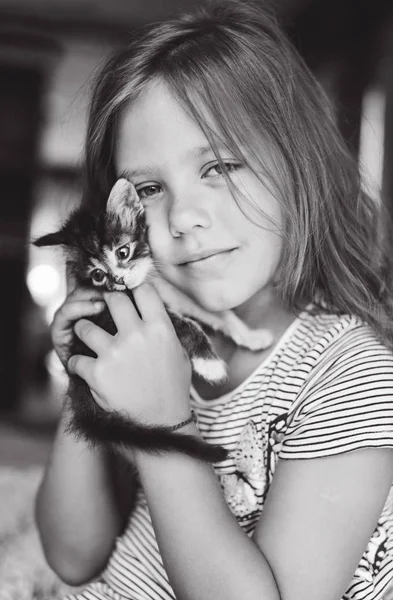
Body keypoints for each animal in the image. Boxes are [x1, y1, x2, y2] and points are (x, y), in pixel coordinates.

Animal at [34, 180, 272, 462]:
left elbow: (214, 312)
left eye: (122, 252)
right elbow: (189, 324)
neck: (147, 281)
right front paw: (211, 365)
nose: (119, 281)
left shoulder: (172, 293)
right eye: (98, 275)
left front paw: (252, 336)